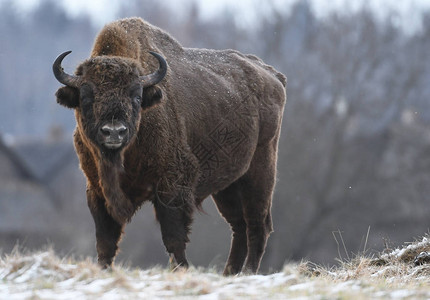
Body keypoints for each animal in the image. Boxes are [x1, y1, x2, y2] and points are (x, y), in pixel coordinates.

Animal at [53, 17, 286, 276]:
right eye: (86, 97)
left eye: (136, 96)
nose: (114, 131)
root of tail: (272, 75)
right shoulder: (98, 190)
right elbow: (105, 241)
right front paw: (104, 269)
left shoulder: (172, 187)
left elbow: (173, 237)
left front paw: (182, 268)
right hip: (229, 185)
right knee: (239, 226)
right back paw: (230, 273)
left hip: (260, 172)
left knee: (257, 224)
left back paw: (248, 272)